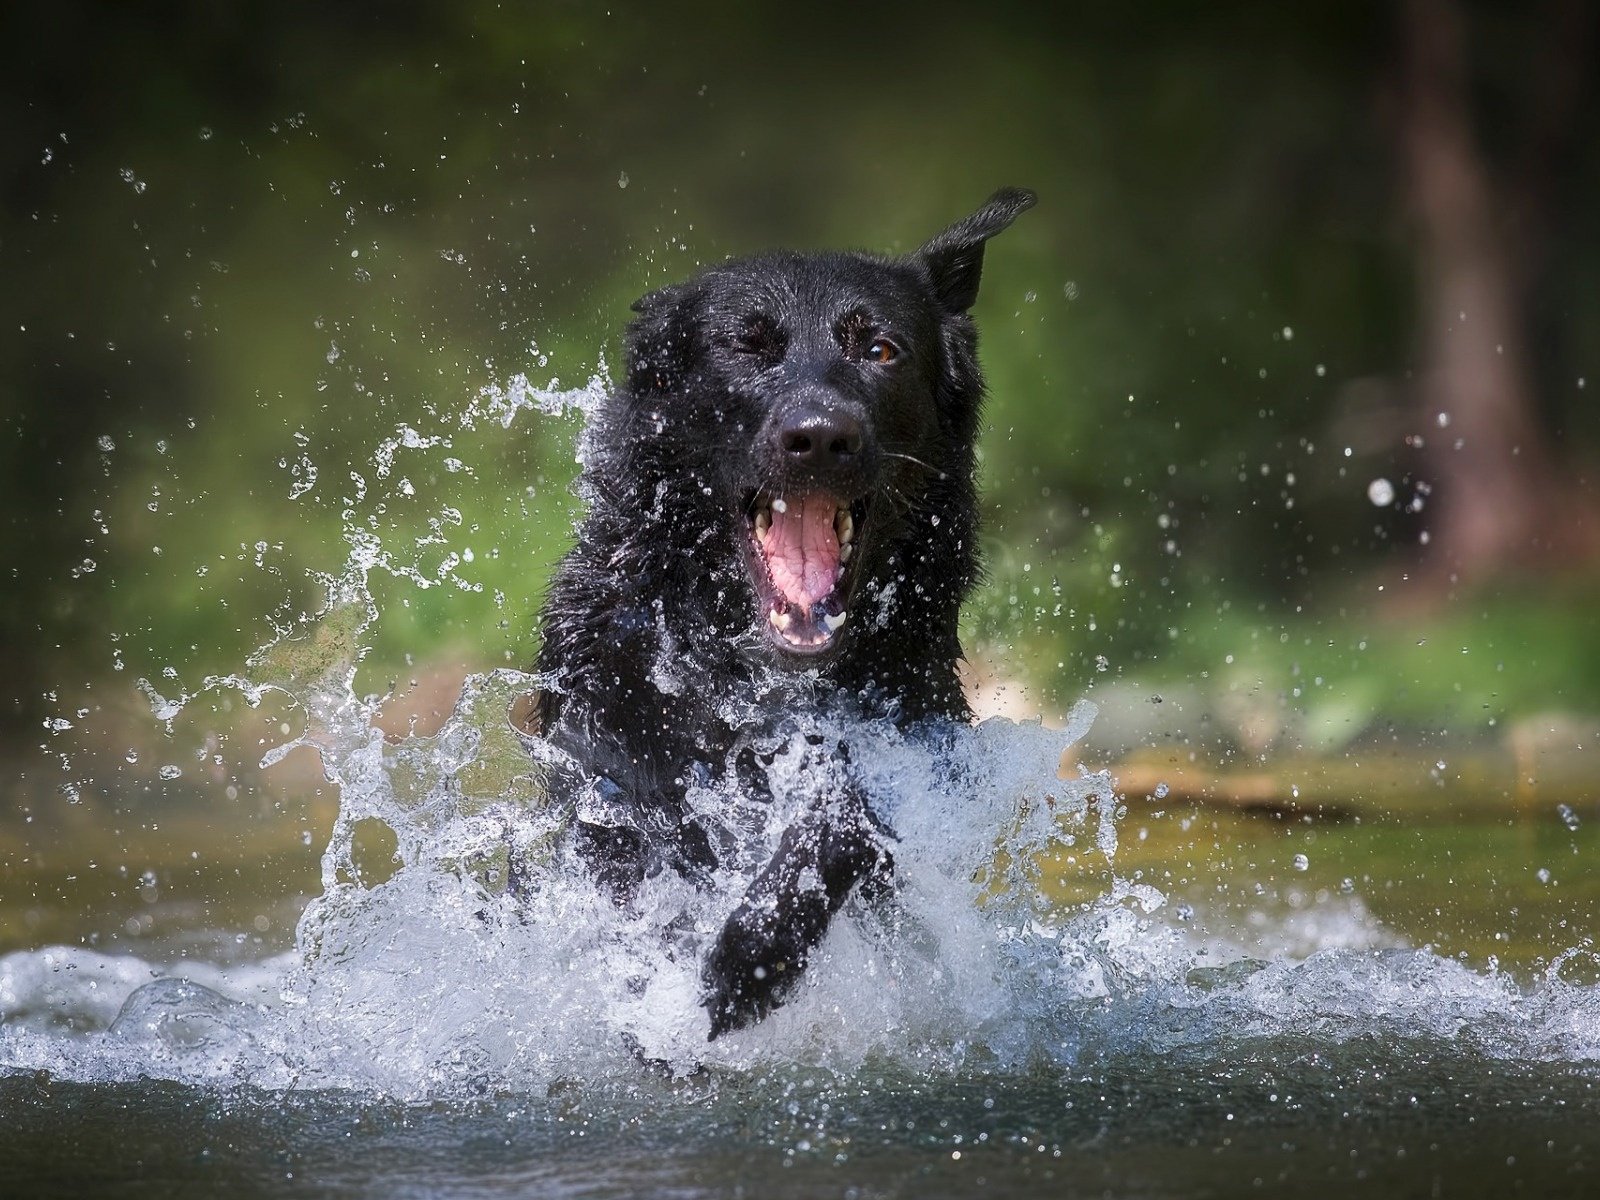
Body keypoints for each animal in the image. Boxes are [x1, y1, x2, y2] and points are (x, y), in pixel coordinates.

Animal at [524, 188, 1036, 1043]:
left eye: (881, 350)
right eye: (748, 348)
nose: (820, 437)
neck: (752, 678)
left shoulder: (906, 748)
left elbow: (842, 814)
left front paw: (751, 957)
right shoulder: (605, 741)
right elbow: (629, 844)